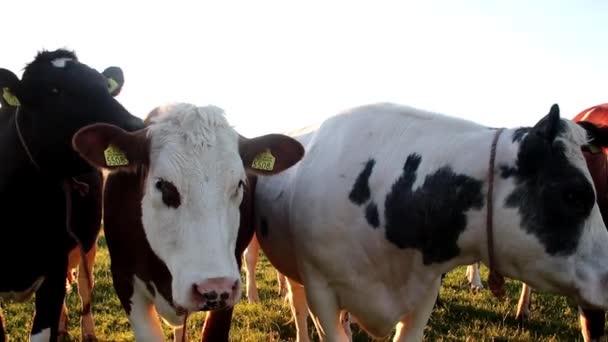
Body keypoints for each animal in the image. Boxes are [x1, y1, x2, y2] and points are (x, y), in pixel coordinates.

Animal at [0, 48, 144, 342]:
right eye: (54, 90)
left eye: (104, 85)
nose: (135, 126)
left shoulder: (53, 273)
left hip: (88, 244)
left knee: (83, 289)